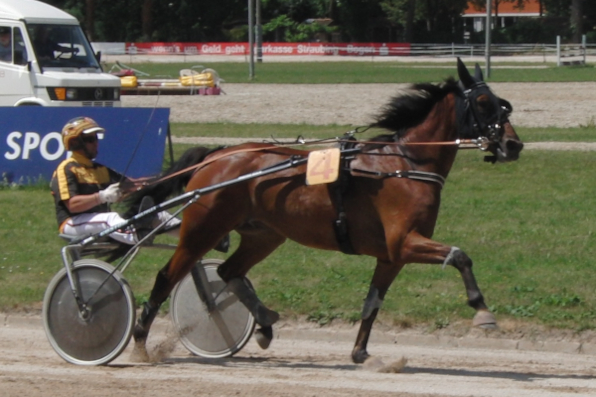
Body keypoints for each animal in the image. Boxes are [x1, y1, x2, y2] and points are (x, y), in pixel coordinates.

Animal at [127, 57, 520, 364]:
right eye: (483, 102)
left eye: (504, 104)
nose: (513, 144)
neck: (405, 164)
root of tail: (216, 155)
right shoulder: (405, 242)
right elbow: (460, 255)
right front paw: (482, 311)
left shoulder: (391, 256)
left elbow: (372, 302)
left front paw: (361, 353)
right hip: (203, 228)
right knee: (167, 277)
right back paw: (140, 343)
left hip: (264, 235)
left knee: (228, 271)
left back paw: (264, 323)